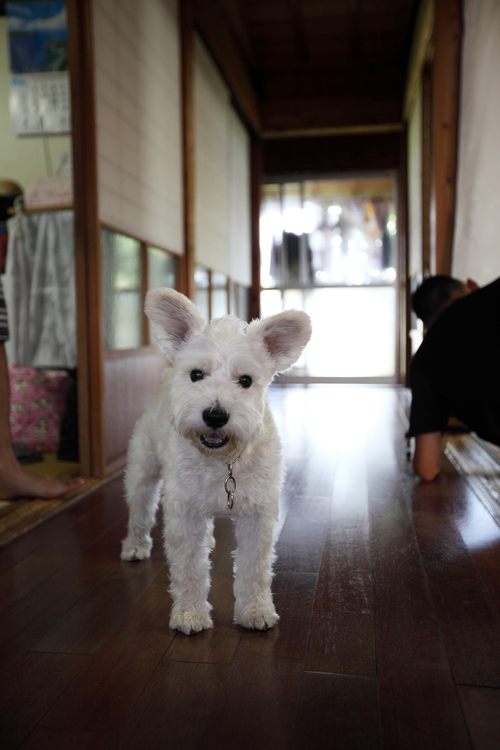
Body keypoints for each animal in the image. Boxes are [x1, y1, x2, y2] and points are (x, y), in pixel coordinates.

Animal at [120, 288, 310, 636]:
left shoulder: (257, 516)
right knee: (140, 508)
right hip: (143, 470)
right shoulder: (183, 513)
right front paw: (189, 613)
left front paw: (255, 610)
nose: (215, 415)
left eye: (246, 380)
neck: (222, 460)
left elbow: (254, 568)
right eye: (197, 374)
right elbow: (188, 568)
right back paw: (135, 545)